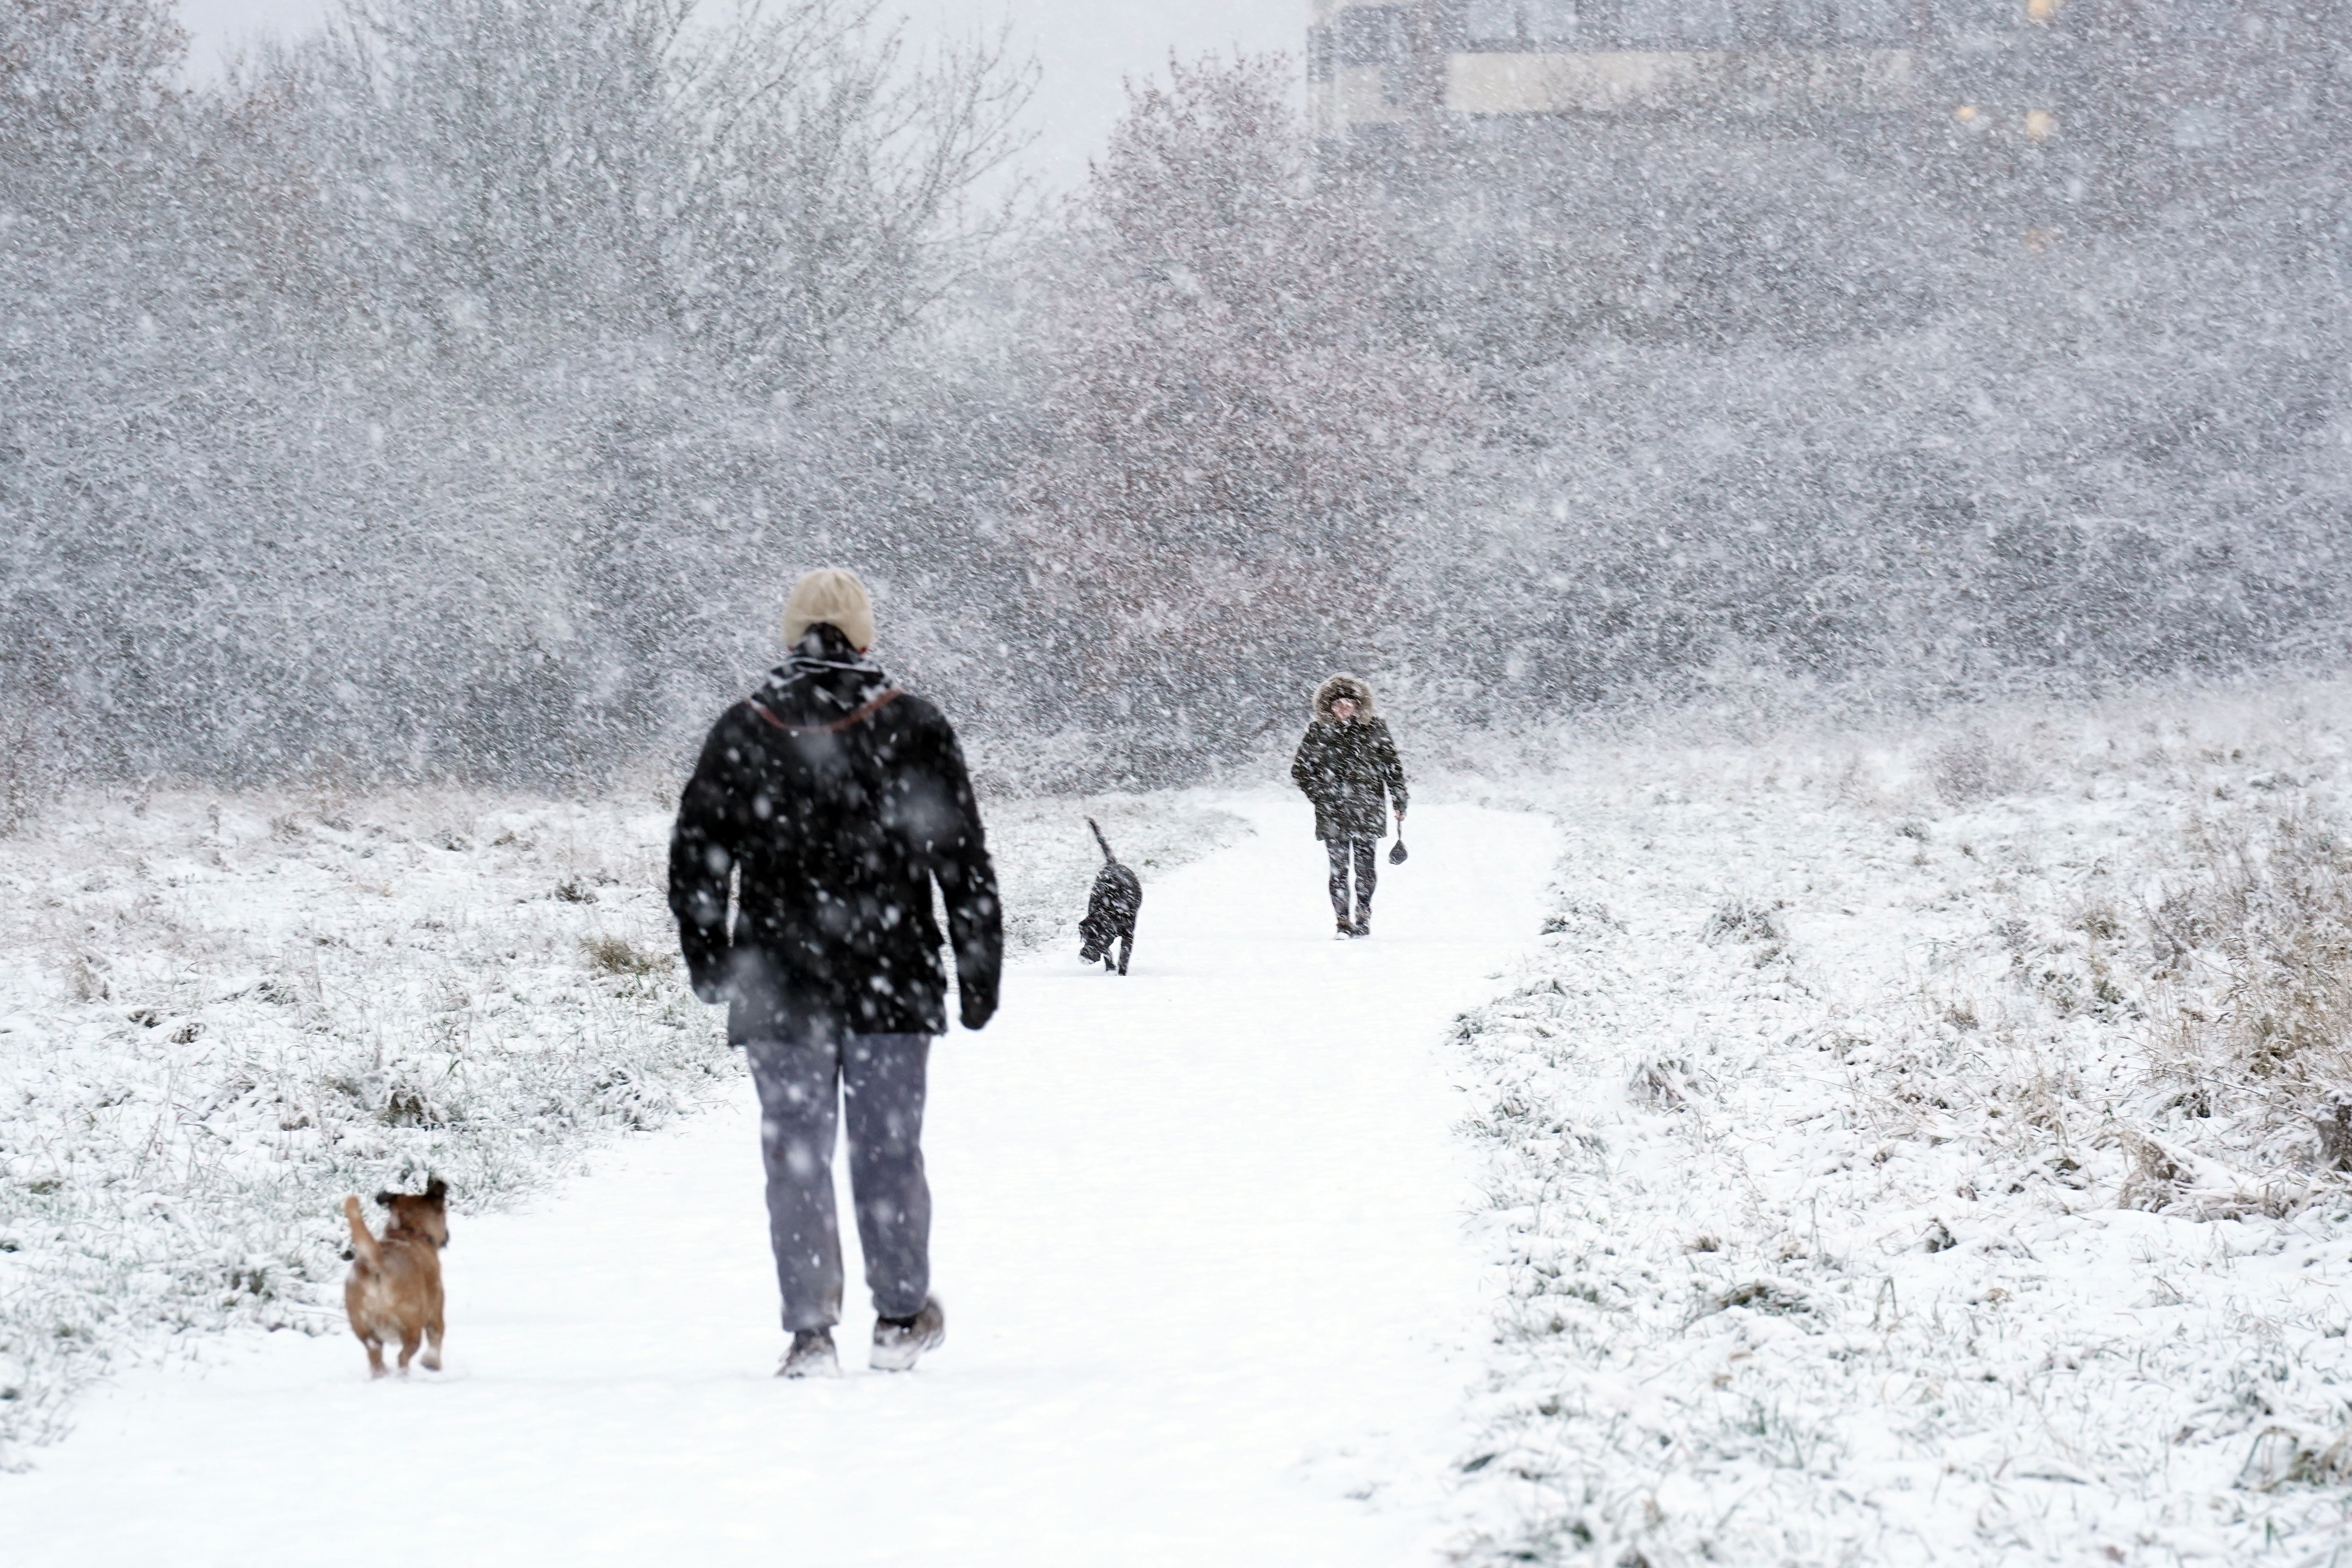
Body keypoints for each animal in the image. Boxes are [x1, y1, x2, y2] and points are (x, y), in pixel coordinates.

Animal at [343, 1185, 446, 1382]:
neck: (409, 1232)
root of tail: (378, 1263)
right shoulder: (436, 1312)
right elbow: (436, 1337)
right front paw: (432, 1363)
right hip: (412, 1325)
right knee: (403, 1357)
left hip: (364, 1328)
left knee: (375, 1356)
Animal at [1077, 818, 1143, 973]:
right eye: (1085, 938)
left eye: (1098, 940)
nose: (1084, 956)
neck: (1110, 908)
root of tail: (1113, 863)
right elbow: (1107, 953)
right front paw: (1111, 969)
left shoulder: (1129, 935)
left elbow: (1124, 956)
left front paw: (1121, 973)